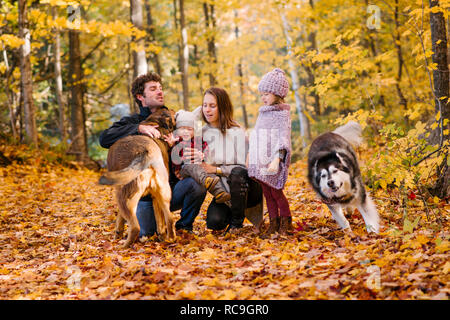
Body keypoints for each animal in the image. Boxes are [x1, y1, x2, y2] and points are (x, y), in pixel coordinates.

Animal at [99, 108, 177, 248]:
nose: (173, 109)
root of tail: (145, 152)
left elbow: (119, 216)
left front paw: (118, 233)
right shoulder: (155, 197)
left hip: (124, 195)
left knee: (135, 227)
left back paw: (123, 246)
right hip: (162, 193)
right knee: (170, 219)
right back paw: (169, 239)